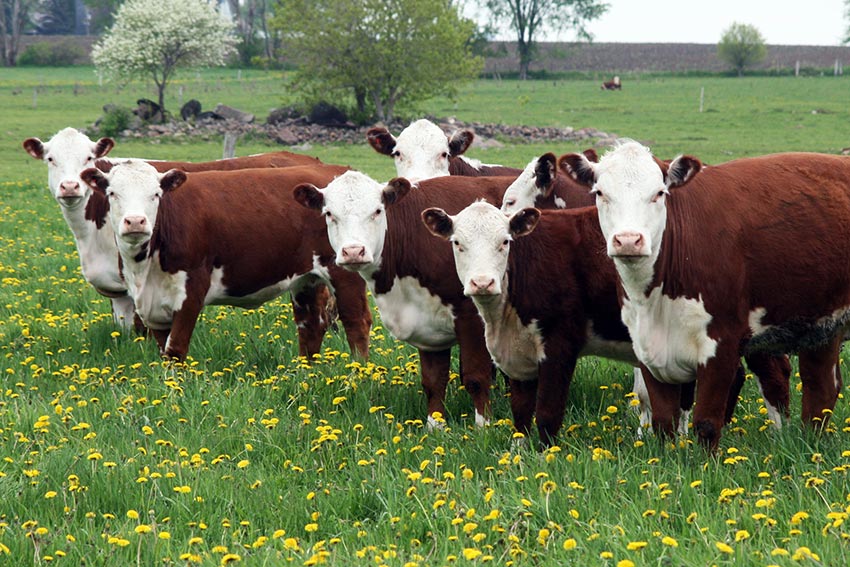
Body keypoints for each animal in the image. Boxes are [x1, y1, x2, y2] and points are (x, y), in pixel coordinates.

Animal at [78, 162, 370, 362]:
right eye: (112, 193)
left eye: (155, 194)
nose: (136, 221)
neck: (144, 270)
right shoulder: (152, 304)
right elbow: (163, 349)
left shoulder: (191, 290)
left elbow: (175, 349)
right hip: (306, 279)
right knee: (310, 325)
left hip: (346, 270)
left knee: (357, 322)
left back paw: (357, 374)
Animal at [292, 171, 516, 428]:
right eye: (329, 213)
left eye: (377, 210)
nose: (353, 251)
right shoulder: (428, 325)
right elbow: (433, 380)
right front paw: (435, 426)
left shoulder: (472, 315)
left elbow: (476, 377)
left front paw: (483, 427)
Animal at [422, 202, 788, 446]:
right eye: (457, 243)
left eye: (505, 241)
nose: (482, 283)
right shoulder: (519, 350)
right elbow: (521, 412)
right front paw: (518, 453)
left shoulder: (560, 344)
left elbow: (547, 412)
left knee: (772, 374)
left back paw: (778, 434)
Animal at [556, 143, 848, 452]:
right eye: (600, 193)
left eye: (659, 193)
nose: (628, 240)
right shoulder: (645, 346)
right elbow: (663, 421)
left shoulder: (722, 343)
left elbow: (706, 422)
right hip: (822, 326)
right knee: (818, 388)